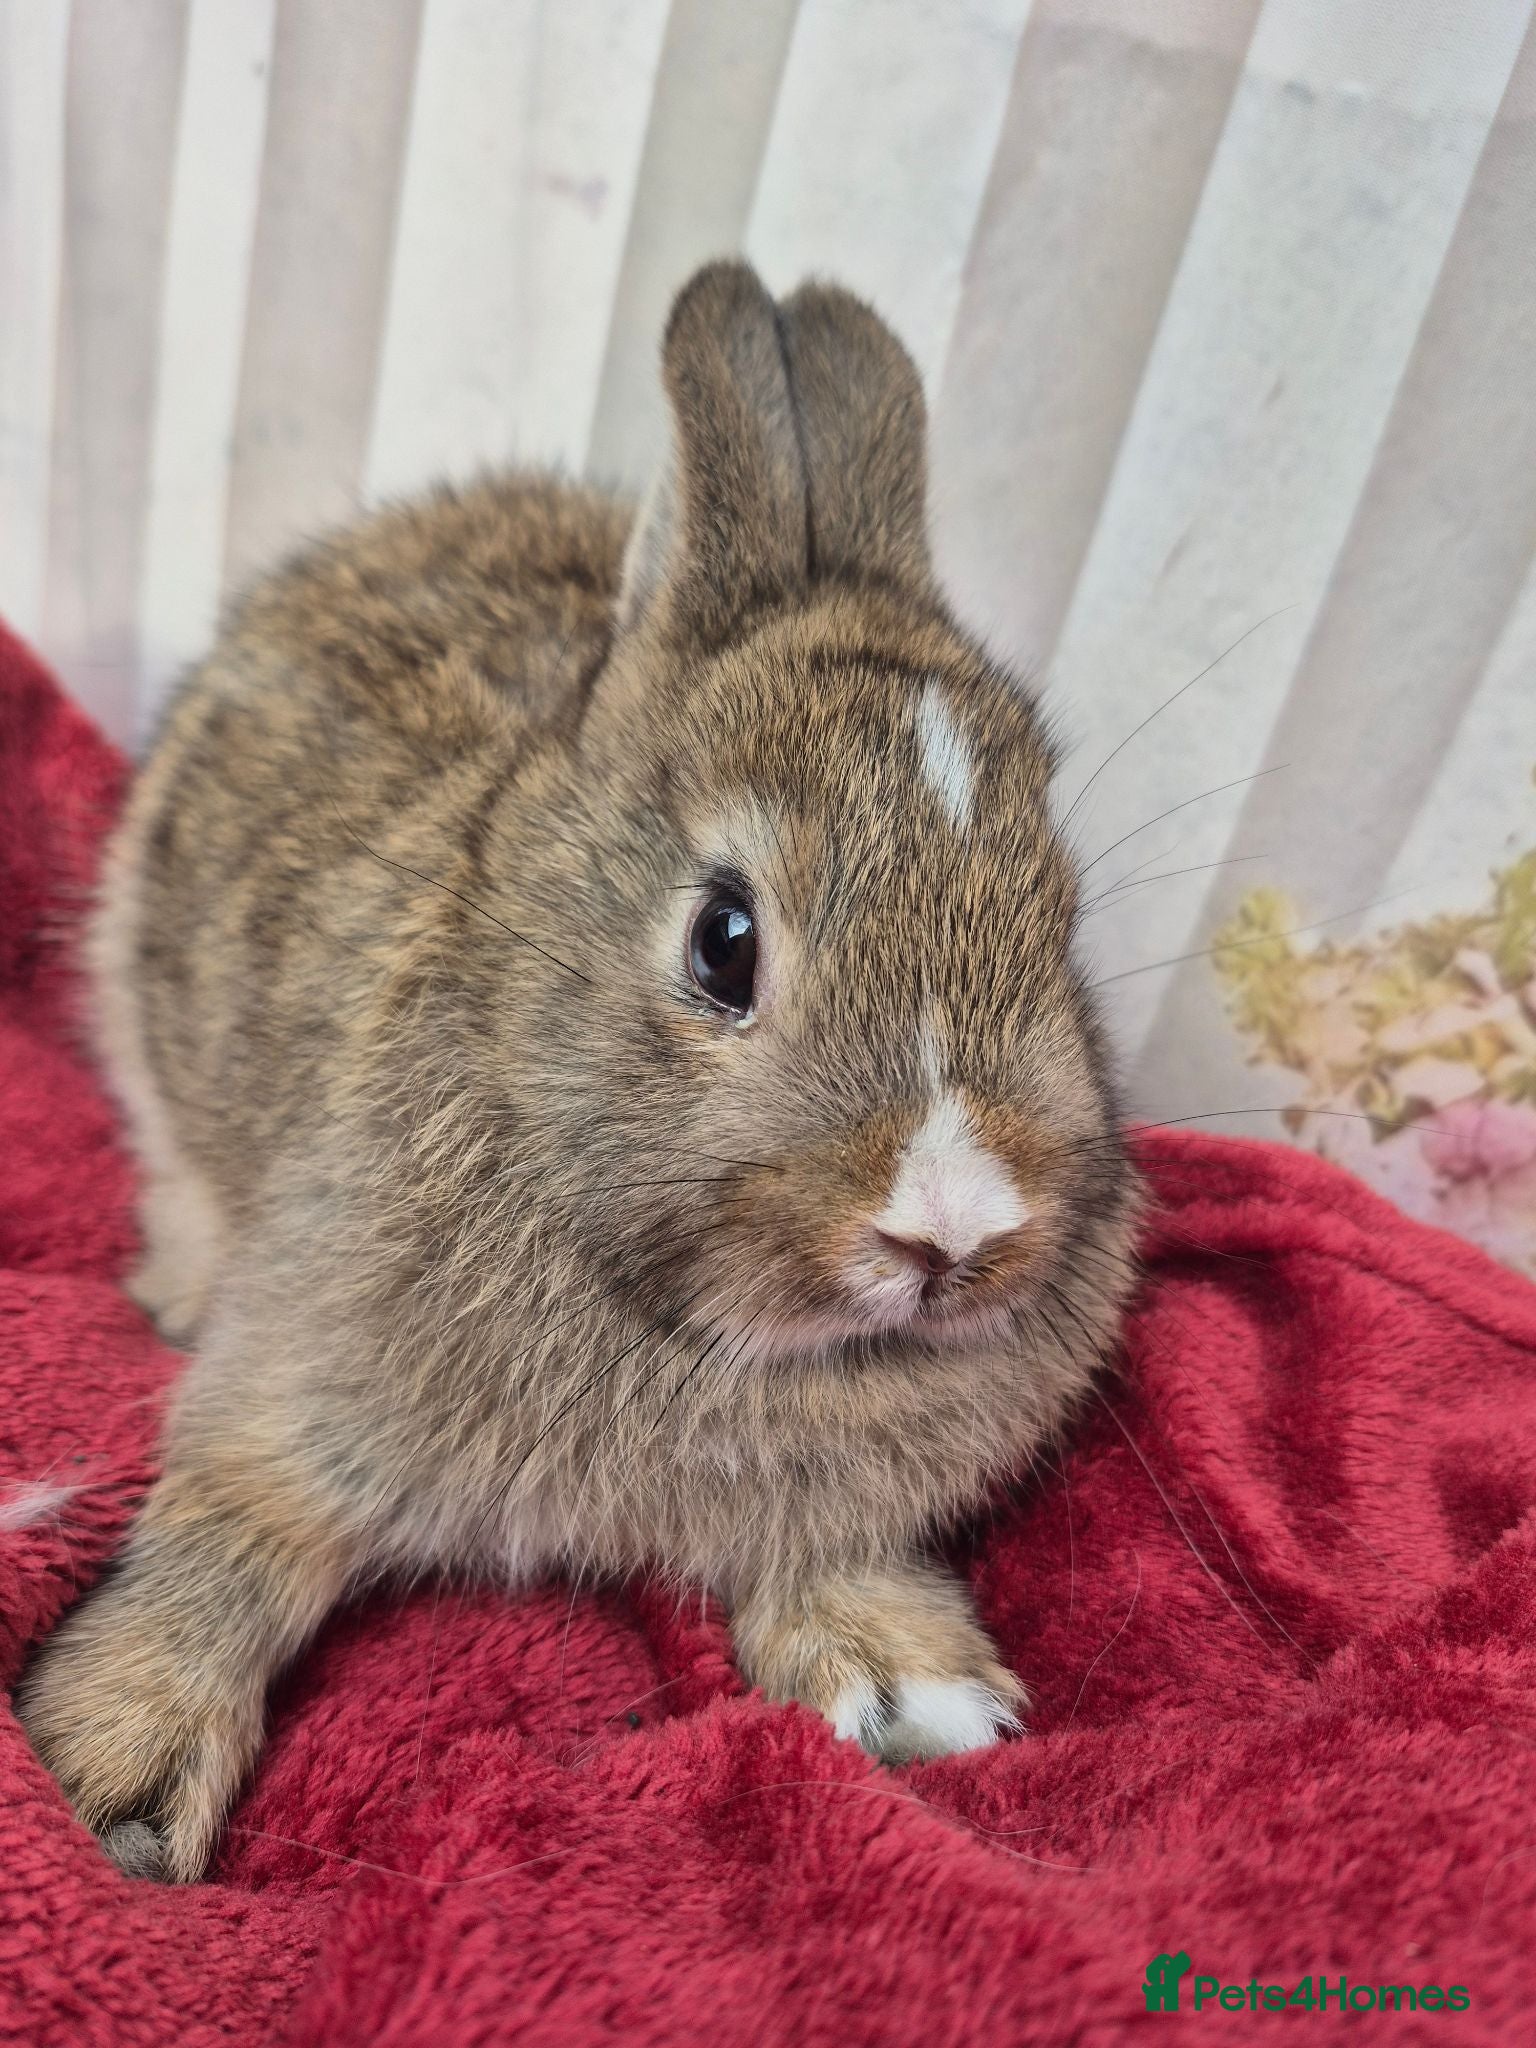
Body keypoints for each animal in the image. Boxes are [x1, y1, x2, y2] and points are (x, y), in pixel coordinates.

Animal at [17, 259, 1139, 1882]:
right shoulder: (296, 1389)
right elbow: (229, 1535)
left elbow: (832, 1549)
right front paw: (110, 1780)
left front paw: (916, 1687)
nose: (955, 1228)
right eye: (725, 942)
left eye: (1062, 921)